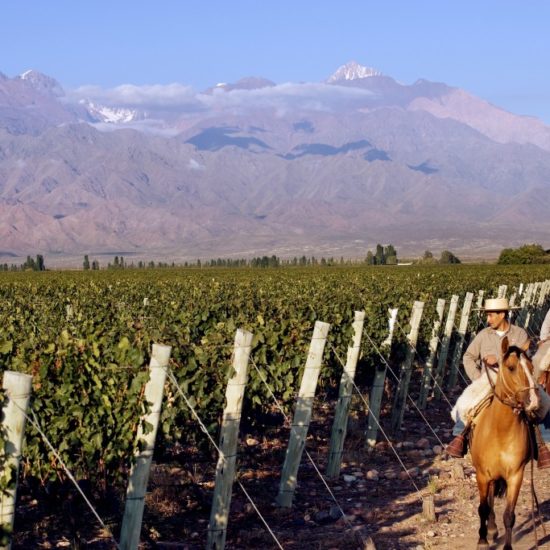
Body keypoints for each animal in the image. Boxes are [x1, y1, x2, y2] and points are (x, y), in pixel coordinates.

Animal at [472, 338, 540, 548]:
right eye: (511, 368)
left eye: (531, 367)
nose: (533, 401)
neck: (500, 431)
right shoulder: (482, 475)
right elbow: (483, 508)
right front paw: (482, 541)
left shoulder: (516, 475)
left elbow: (509, 515)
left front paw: (507, 546)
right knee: (489, 501)